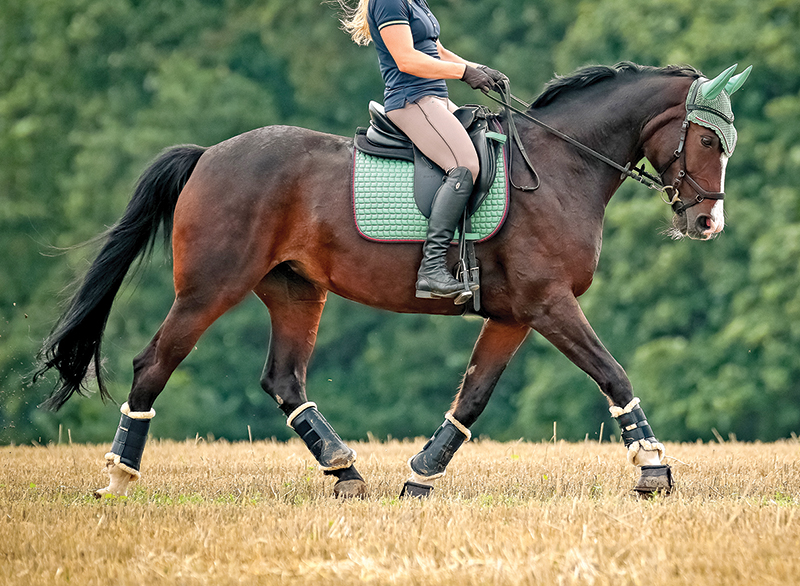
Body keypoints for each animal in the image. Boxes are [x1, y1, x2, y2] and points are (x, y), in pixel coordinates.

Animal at [35, 61, 750, 499]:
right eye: (708, 143)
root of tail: (209, 154)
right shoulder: (549, 305)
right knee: (153, 363)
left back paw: (346, 471)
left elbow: (473, 397)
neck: (559, 166)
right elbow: (614, 375)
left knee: (283, 379)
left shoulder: (513, 315)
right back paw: (118, 478)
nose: (707, 222)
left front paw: (421, 477)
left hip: (296, 290)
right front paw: (653, 469)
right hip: (210, 289)